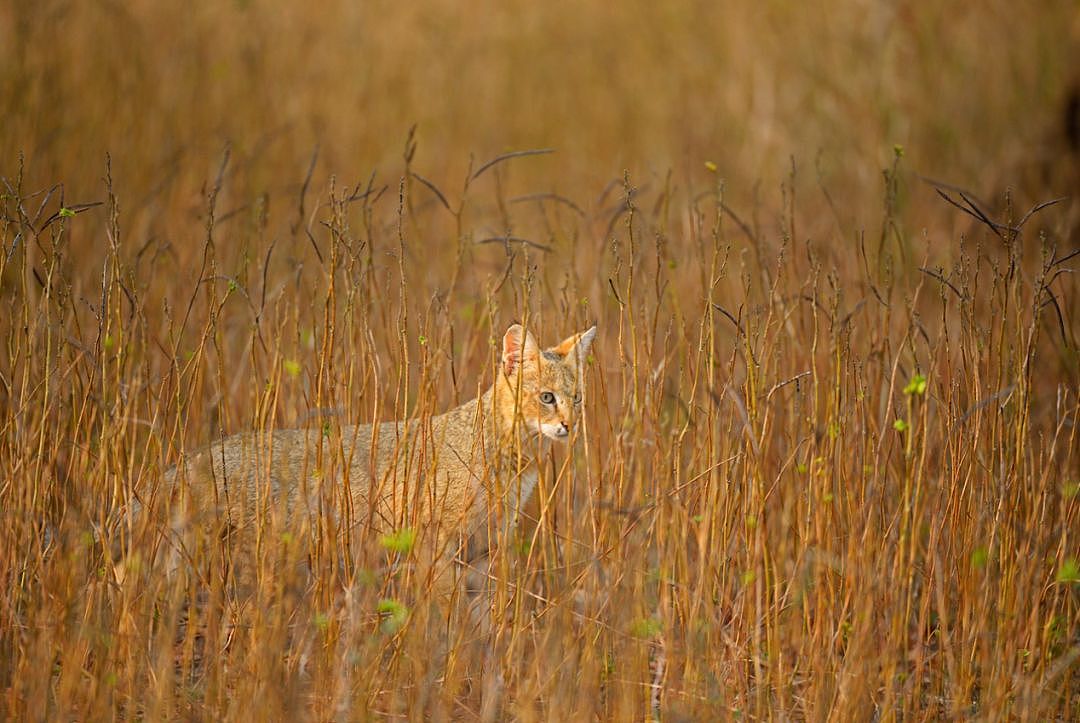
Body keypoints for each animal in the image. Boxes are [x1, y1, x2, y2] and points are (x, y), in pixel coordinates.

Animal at [137, 322, 600, 587]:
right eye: (547, 398)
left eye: (577, 399)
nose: (571, 426)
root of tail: (189, 459)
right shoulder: (436, 544)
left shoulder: (484, 550)